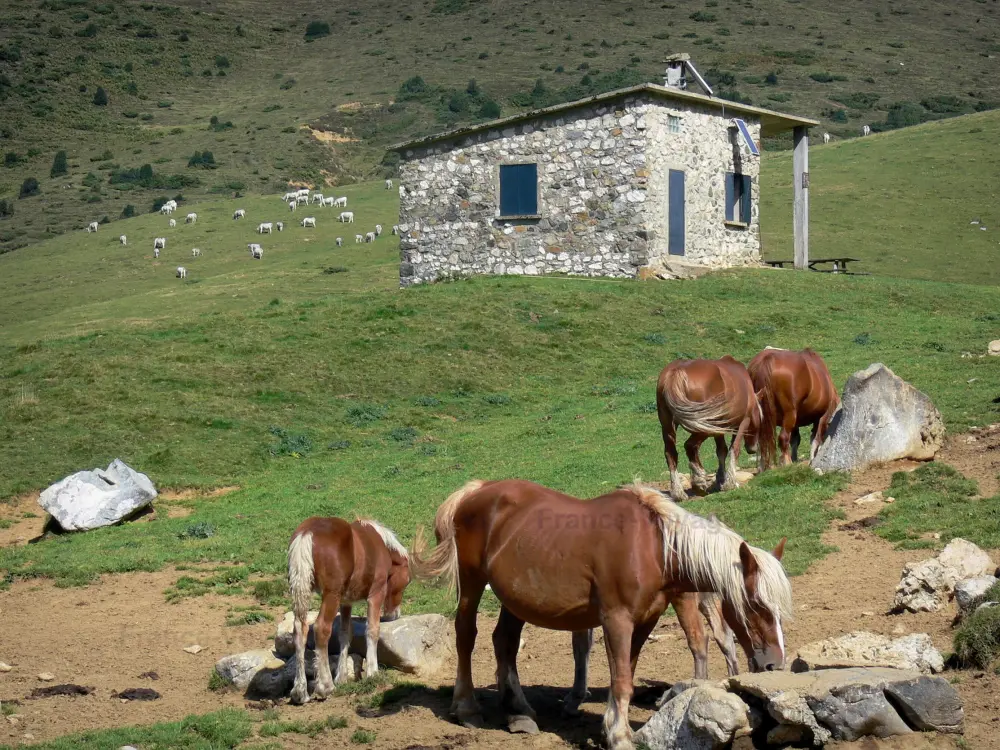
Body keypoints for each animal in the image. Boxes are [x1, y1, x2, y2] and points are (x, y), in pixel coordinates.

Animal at [288, 516, 412, 704]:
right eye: (407, 581)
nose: (395, 614)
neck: (380, 544)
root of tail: (307, 532)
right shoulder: (376, 594)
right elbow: (372, 630)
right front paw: (373, 672)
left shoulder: (346, 602)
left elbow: (345, 633)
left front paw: (342, 676)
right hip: (331, 595)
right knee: (321, 628)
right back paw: (325, 686)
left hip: (305, 591)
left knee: (299, 630)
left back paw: (300, 691)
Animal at [410, 482, 792, 750]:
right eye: (756, 605)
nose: (774, 664)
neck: (654, 547)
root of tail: (474, 491)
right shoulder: (616, 620)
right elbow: (621, 679)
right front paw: (620, 736)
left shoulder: (644, 622)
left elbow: (626, 674)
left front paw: (612, 728)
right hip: (473, 583)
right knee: (466, 635)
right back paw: (467, 708)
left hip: (514, 599)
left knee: (504, 642)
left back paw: (518, 713)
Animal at [652, 356, 760, 502]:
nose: (752, 449)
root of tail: (676, 372)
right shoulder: (743, 422)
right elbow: (734, 449)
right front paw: (730, 483)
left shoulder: (719, 429)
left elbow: (721, 451)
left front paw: (721, 479)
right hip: (703, 425)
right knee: (690, 445)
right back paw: (699, 480)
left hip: (670, 425)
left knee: (671, 453)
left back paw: (679, 492)